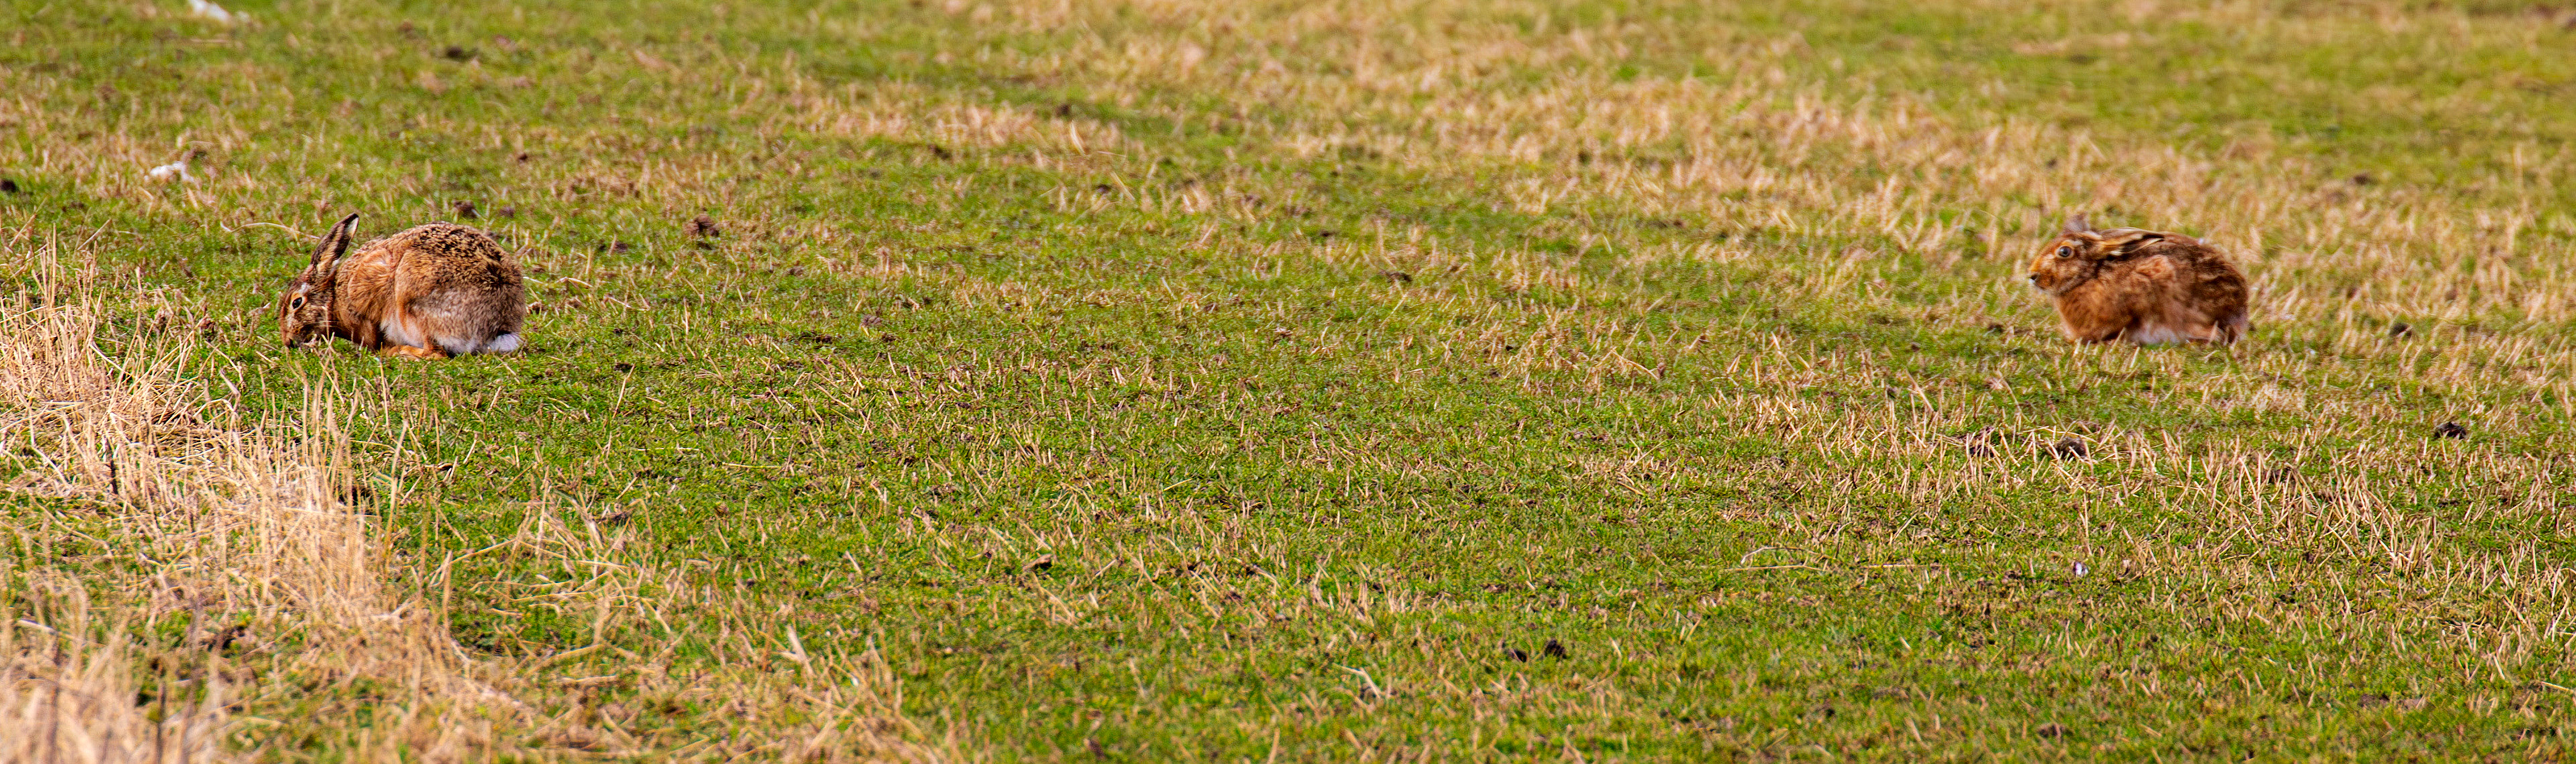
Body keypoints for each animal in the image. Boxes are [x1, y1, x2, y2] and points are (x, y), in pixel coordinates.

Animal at [277, 213, 527, 359]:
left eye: (296, 302)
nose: (288, 341)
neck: (333, 299)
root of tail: (498, 328)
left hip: (413, 302)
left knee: (435, 353)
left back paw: (399, 352)